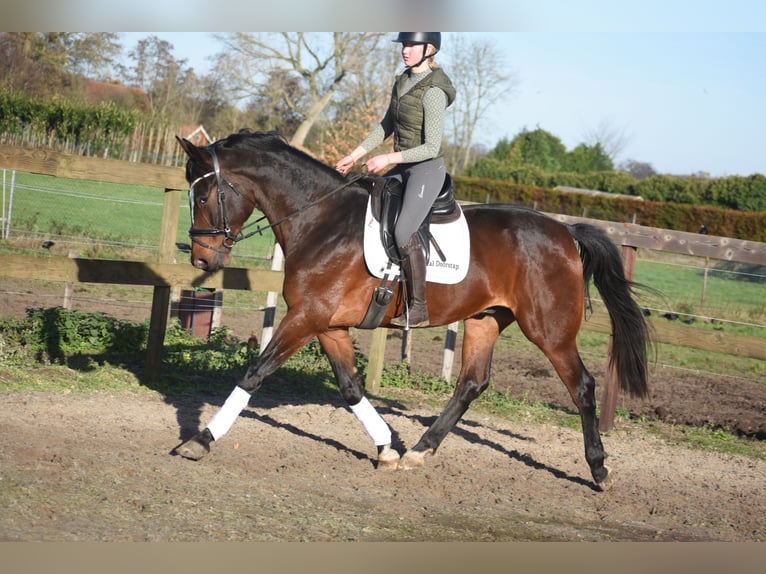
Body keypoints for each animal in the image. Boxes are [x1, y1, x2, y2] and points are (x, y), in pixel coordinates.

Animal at [173, 129, 650, 489]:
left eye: (204, 196)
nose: (201, 260)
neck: (321, 221)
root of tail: (565, 232)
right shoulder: (326, 324)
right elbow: (350, 388)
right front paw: (386, 447)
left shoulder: (306, 318)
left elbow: (255, 373)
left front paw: (201, 439)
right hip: (485, 319)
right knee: (471, 383)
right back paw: (420, 450)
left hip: (549, 330)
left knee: (582, 387)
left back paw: (599, 469)